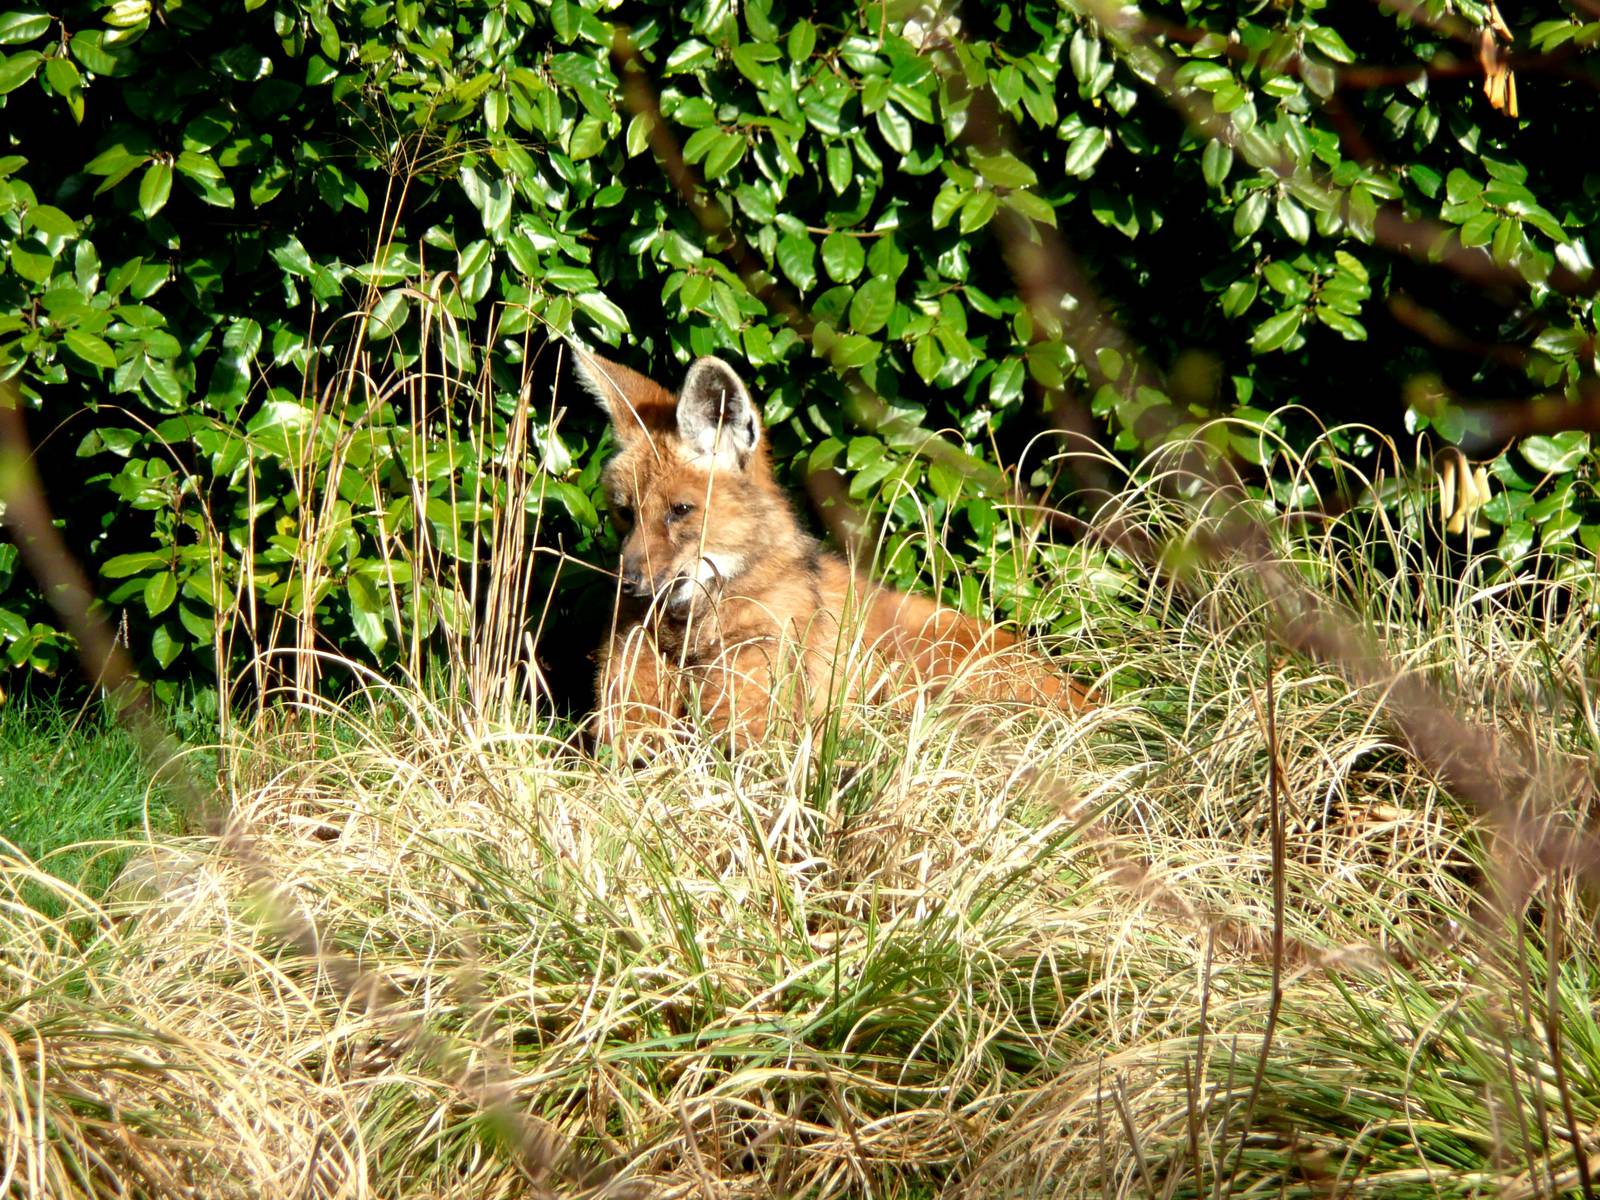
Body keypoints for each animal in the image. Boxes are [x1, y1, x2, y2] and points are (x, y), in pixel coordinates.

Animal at [573, 349, 1090, 751]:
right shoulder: (623, 727)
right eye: (625, 512)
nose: (629, 584)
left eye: (680, 510)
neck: (689, 641)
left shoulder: (751, 732)